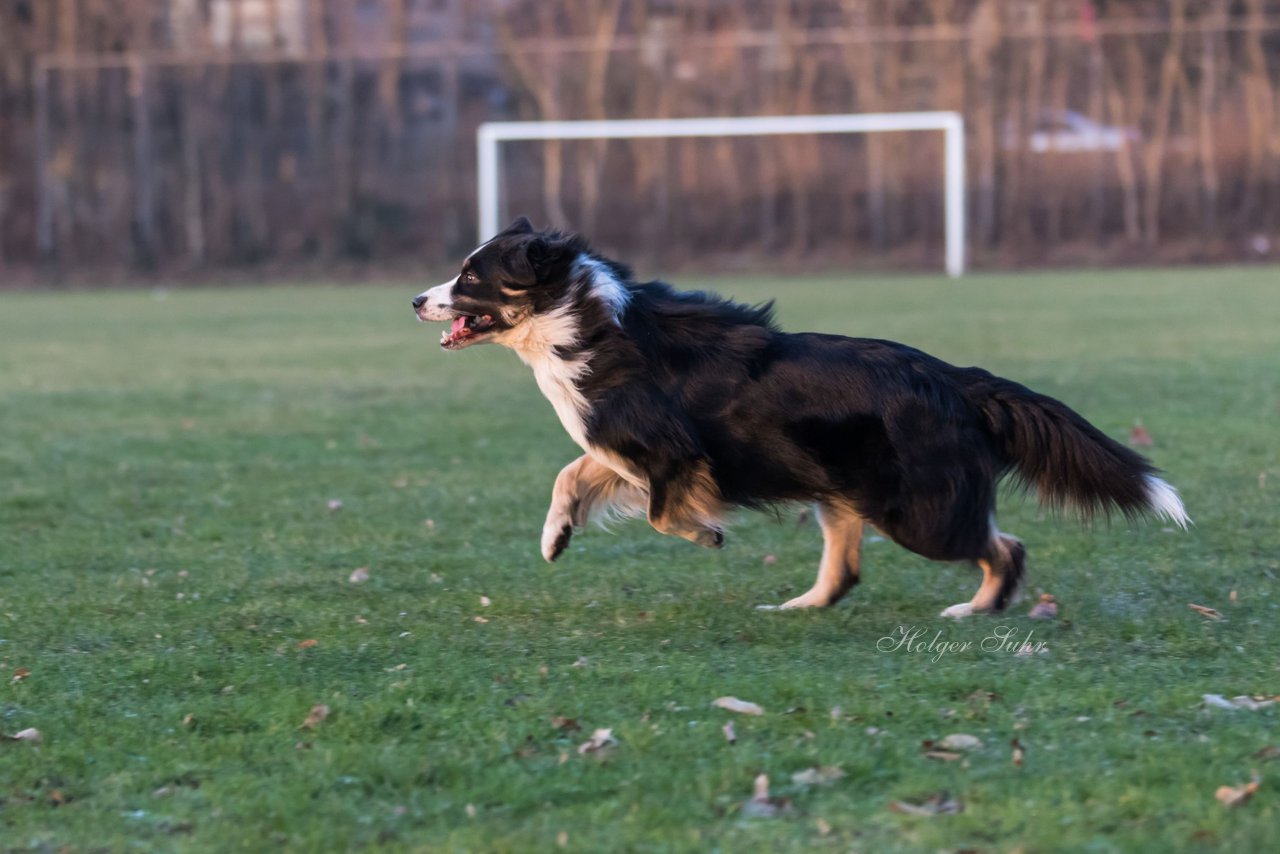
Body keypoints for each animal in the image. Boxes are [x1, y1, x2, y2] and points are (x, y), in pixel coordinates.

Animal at [412, 215, 1187, 614]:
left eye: (471, 276)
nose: (416, 300)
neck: (581, 322)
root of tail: (956, 379)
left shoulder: (670, 452)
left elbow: (661, 512)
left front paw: (707, 534)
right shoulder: (625, 449)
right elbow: (571, 475)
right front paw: (555, 537)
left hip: (916, 512)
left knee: (1005, 546)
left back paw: (974, 608)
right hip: (840, 491)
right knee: (845, 571)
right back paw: (803, 607)